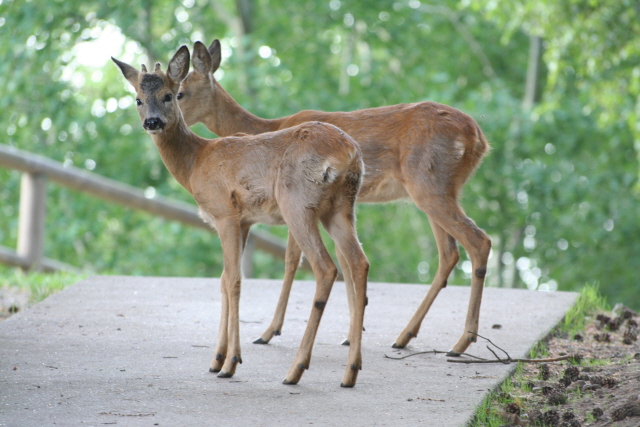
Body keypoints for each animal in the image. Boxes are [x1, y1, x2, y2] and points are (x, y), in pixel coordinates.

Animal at [112, 46, 368, 388]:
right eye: (138, 99)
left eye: (170, 95)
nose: (152, 122)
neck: (195, 162)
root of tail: (350, 154)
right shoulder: (245, 220)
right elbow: (223, 279)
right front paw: (216, 358)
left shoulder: (224, 213)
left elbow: (233, 279)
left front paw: (230, 362)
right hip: (341, 207)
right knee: (359, 262)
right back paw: (350, 371)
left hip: (297, 203)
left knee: (326, 268)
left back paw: (295, 370)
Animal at [178, 40, 492, 356]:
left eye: (179, 93)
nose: (164, 121)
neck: (268, 128)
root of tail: (479, 138)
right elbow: (345, 260)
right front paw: (352, 333)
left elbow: (293, 260)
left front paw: (269, 332)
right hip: (440, 189)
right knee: (449, 253)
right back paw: (405, 336)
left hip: (428, 184)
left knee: (478, 241)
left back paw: (460, 342)